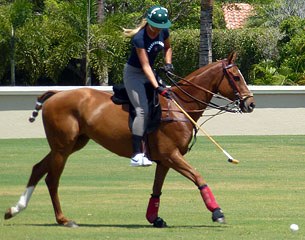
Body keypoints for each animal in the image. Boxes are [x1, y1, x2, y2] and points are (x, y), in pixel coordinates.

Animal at [4, 52, 254, 227]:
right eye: (235, 76)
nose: (250, 103)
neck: (180, 105)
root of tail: (56, 94)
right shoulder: (171, 155)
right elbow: (198, 177)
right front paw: (217, 212)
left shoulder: (165, 159)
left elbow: (156, 189)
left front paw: (154, 218)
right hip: (63, 147)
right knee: (52, 179)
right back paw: (63, 219)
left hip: (70, 144)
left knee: (38, 168)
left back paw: (14, 209)